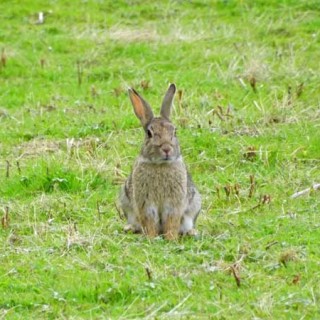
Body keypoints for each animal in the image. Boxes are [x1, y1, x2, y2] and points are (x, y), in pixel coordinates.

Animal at [119, 84, 201, 239]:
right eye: (149, 133)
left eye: (174, 131)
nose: (167, 149)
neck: (160, 165)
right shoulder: (146, 203)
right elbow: (149, 221)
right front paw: (151, 238)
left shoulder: (174, 204)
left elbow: (171, 221)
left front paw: (171, 238)